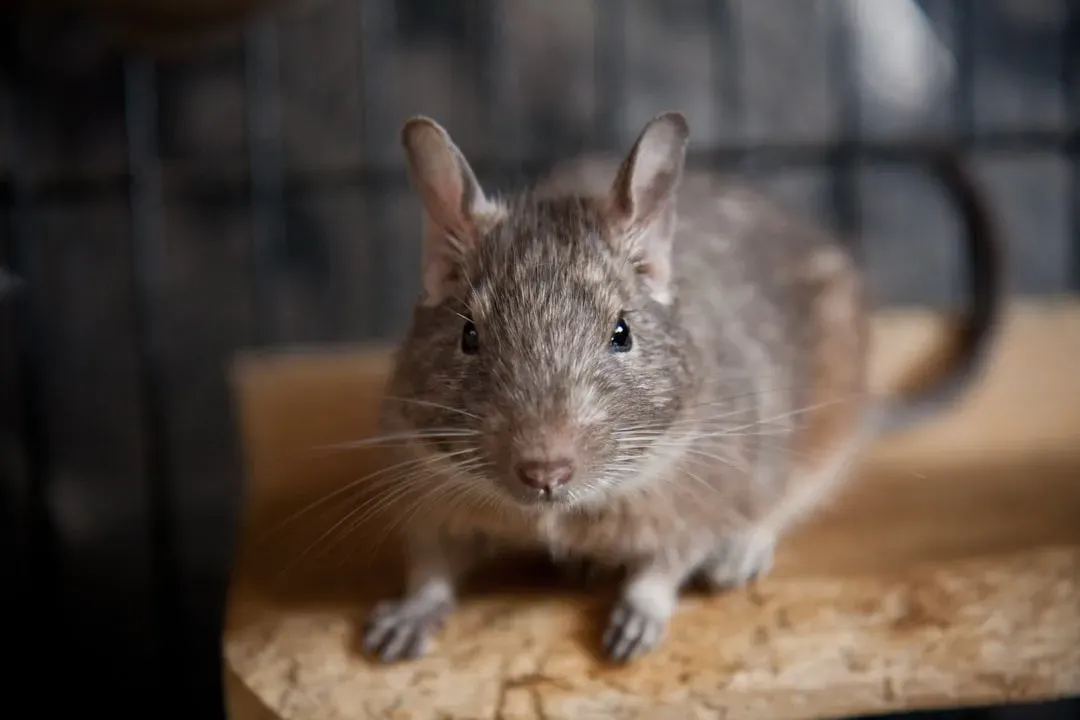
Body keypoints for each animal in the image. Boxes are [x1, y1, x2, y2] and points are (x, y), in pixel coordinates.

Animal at [361, 111, 1003, 663]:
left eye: (622, 332)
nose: (545, 472)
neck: (562, 513)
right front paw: (398, 628)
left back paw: (738, 555)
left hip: (825, 436)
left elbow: (667, 564)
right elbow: (430, 566)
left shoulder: (698, 490)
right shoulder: (426, 490)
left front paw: (633, 629)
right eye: (469, 335)